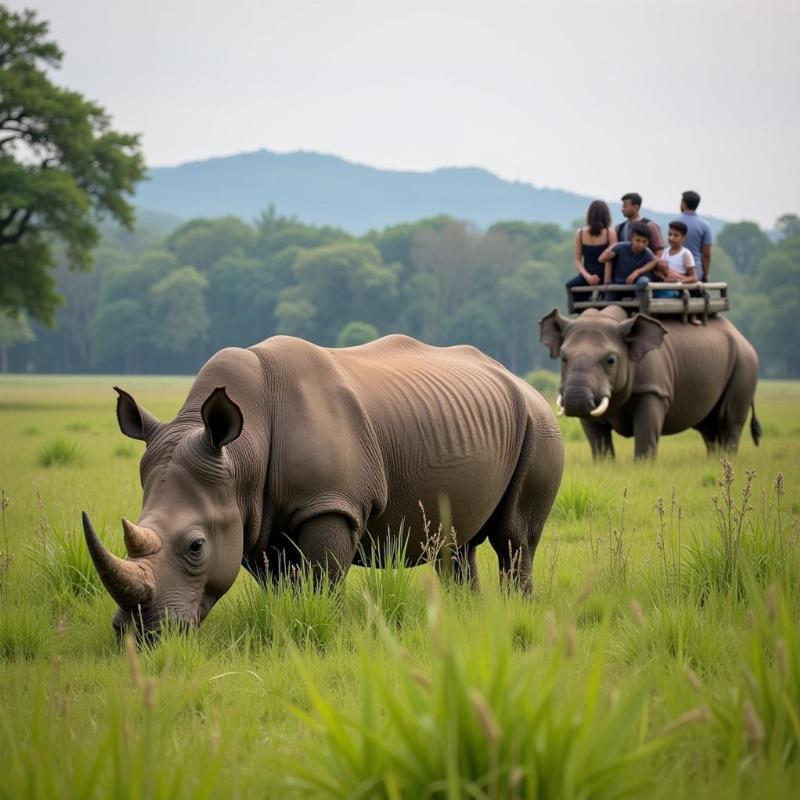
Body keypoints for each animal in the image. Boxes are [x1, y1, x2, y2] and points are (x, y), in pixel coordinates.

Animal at [83, 334, 564, 636]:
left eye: (196, 546)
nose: (139, 634)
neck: (241, 453)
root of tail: (520, 381)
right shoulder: (252, 516)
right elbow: (279, 582)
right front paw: (283, 621)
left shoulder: (329, 503)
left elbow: (321, 577)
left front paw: (319, 625)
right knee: (457, 544)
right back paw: (465, 617)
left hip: (539, 426)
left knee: (515, 538)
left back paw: (515, 611)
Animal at [540, 304, 760, 460]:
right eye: (563, 358)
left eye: (611, 360)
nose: (576, 403)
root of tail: (741, 336)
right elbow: (598, 442)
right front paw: (604, 464)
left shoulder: (652, 390)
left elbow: (646, 434)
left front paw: (643, 465)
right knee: (708, 424)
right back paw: (715, 461)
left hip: (745, 360)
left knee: (728, 419)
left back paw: (726, 460)